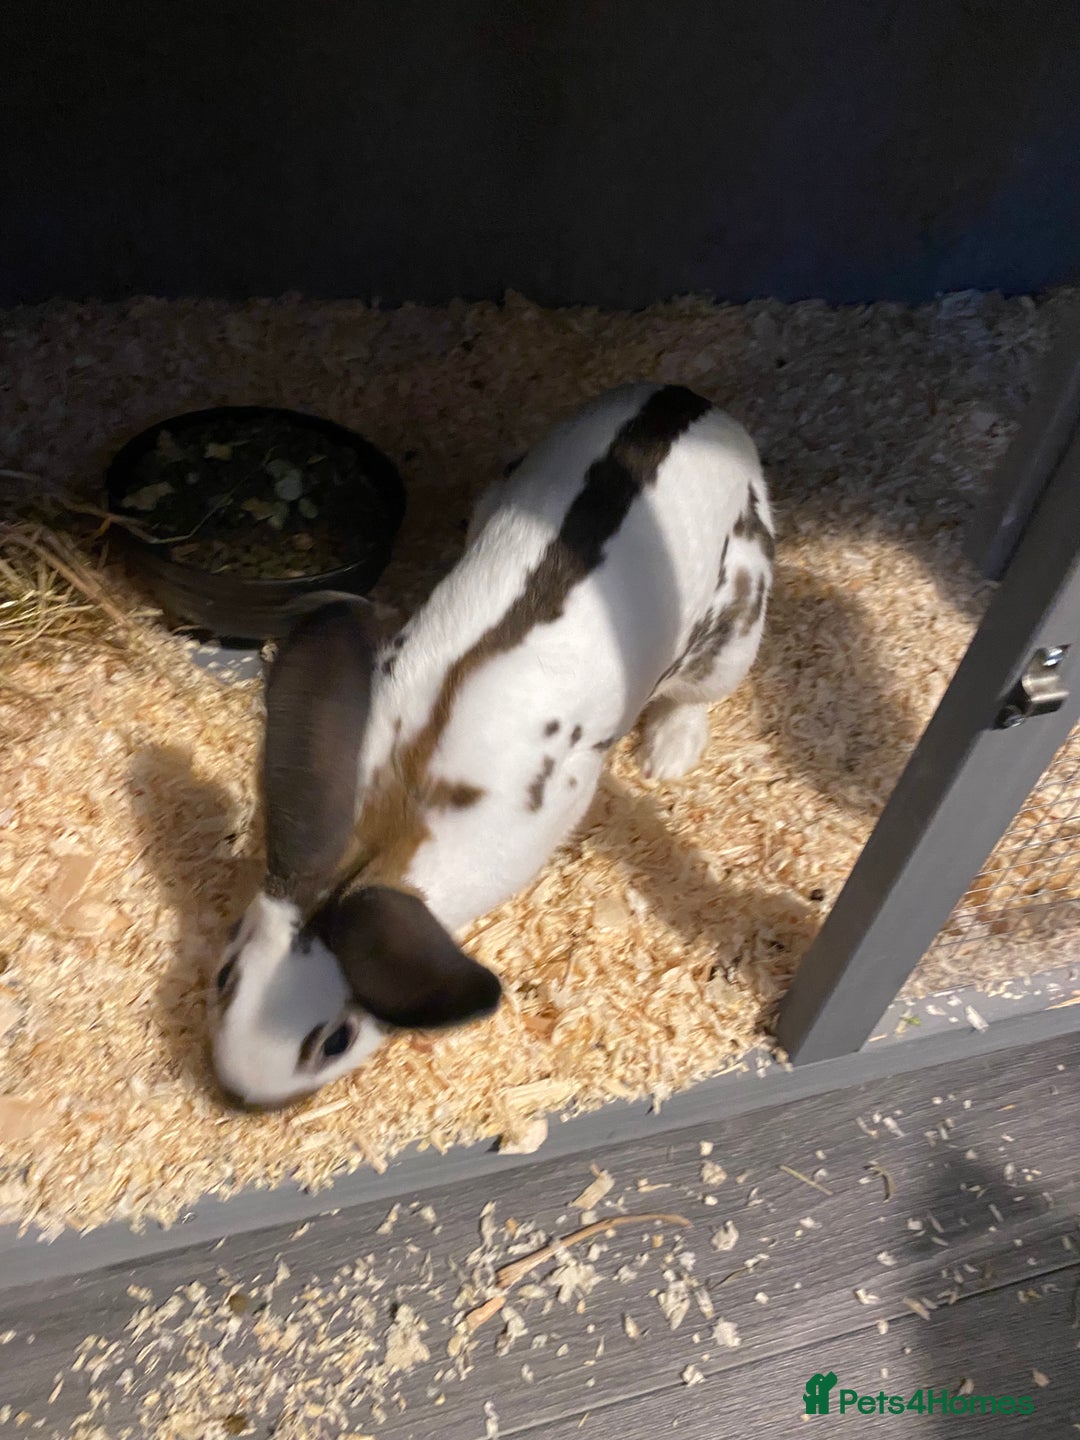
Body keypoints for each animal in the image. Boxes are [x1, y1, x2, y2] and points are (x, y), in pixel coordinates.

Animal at [210, 382, 774, 1108]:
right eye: (225, 971)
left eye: (334, 1041)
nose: (239, 1089)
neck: (391, 830)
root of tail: (687, 402)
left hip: (735, 625)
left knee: (698, 694)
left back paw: (667, 753)